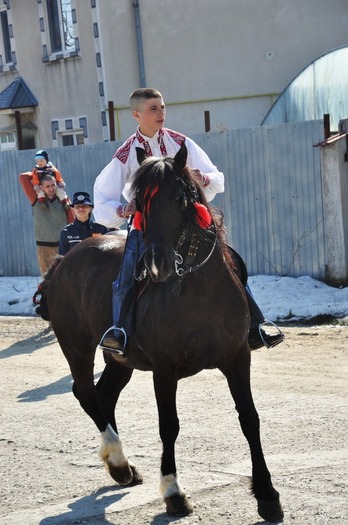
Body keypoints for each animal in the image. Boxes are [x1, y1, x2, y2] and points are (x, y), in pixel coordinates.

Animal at [48, 143, 282, 520]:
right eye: (139, 202)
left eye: (179, 198)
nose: (156, 263)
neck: (197, 289)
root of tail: (63, 261)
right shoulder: (164, 368)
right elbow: (168, 425)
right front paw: (173, 492)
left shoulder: (237, 357)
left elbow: (249, 418)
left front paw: (267, 495)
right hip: (76, 347)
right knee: (84, 392)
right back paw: (119, 461)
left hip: (119, 360)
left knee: (104, 394)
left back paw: (123, 469)